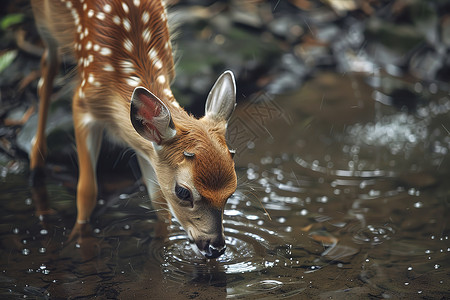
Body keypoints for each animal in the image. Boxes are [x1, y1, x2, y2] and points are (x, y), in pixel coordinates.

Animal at [29, 0, 237, 258]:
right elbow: (87, 191)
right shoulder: (83, 100)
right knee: (47, 67)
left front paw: (160, 246)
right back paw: (36, 163)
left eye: (232, 191)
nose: (216, 247)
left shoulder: (148, 146)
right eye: (183, 192)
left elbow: (158, 202)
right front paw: (80, 241)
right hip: (44, 18)